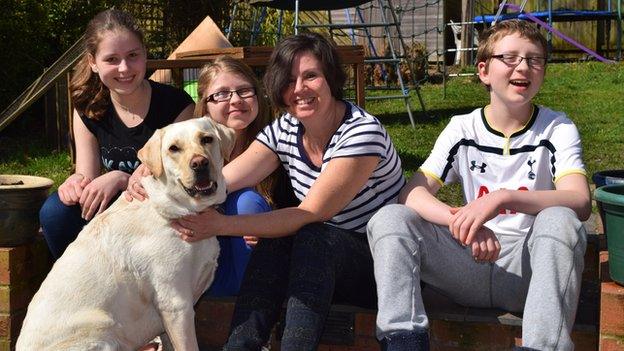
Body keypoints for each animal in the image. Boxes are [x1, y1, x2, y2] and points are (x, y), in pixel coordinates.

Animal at [18, 118, 236, 351]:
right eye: (174, 148)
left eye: (207, 139)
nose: (200, 163)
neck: (179, 208)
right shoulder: (176, 304)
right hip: (104, 334)